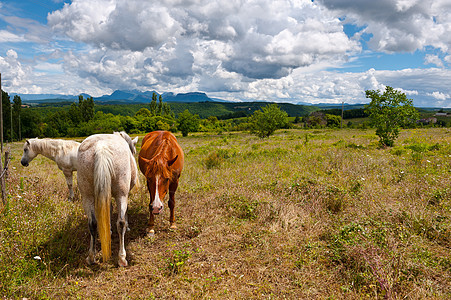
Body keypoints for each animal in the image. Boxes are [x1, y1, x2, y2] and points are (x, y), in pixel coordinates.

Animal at [77, 132, 138, 268]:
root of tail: (101, 147)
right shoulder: (125, 194)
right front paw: (127, 226)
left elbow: (108, 210)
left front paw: (107, 230)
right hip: (121, 194)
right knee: (120, 223)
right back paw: (122, 258)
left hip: (87, 196)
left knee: (92, 223)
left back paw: (91, 257)